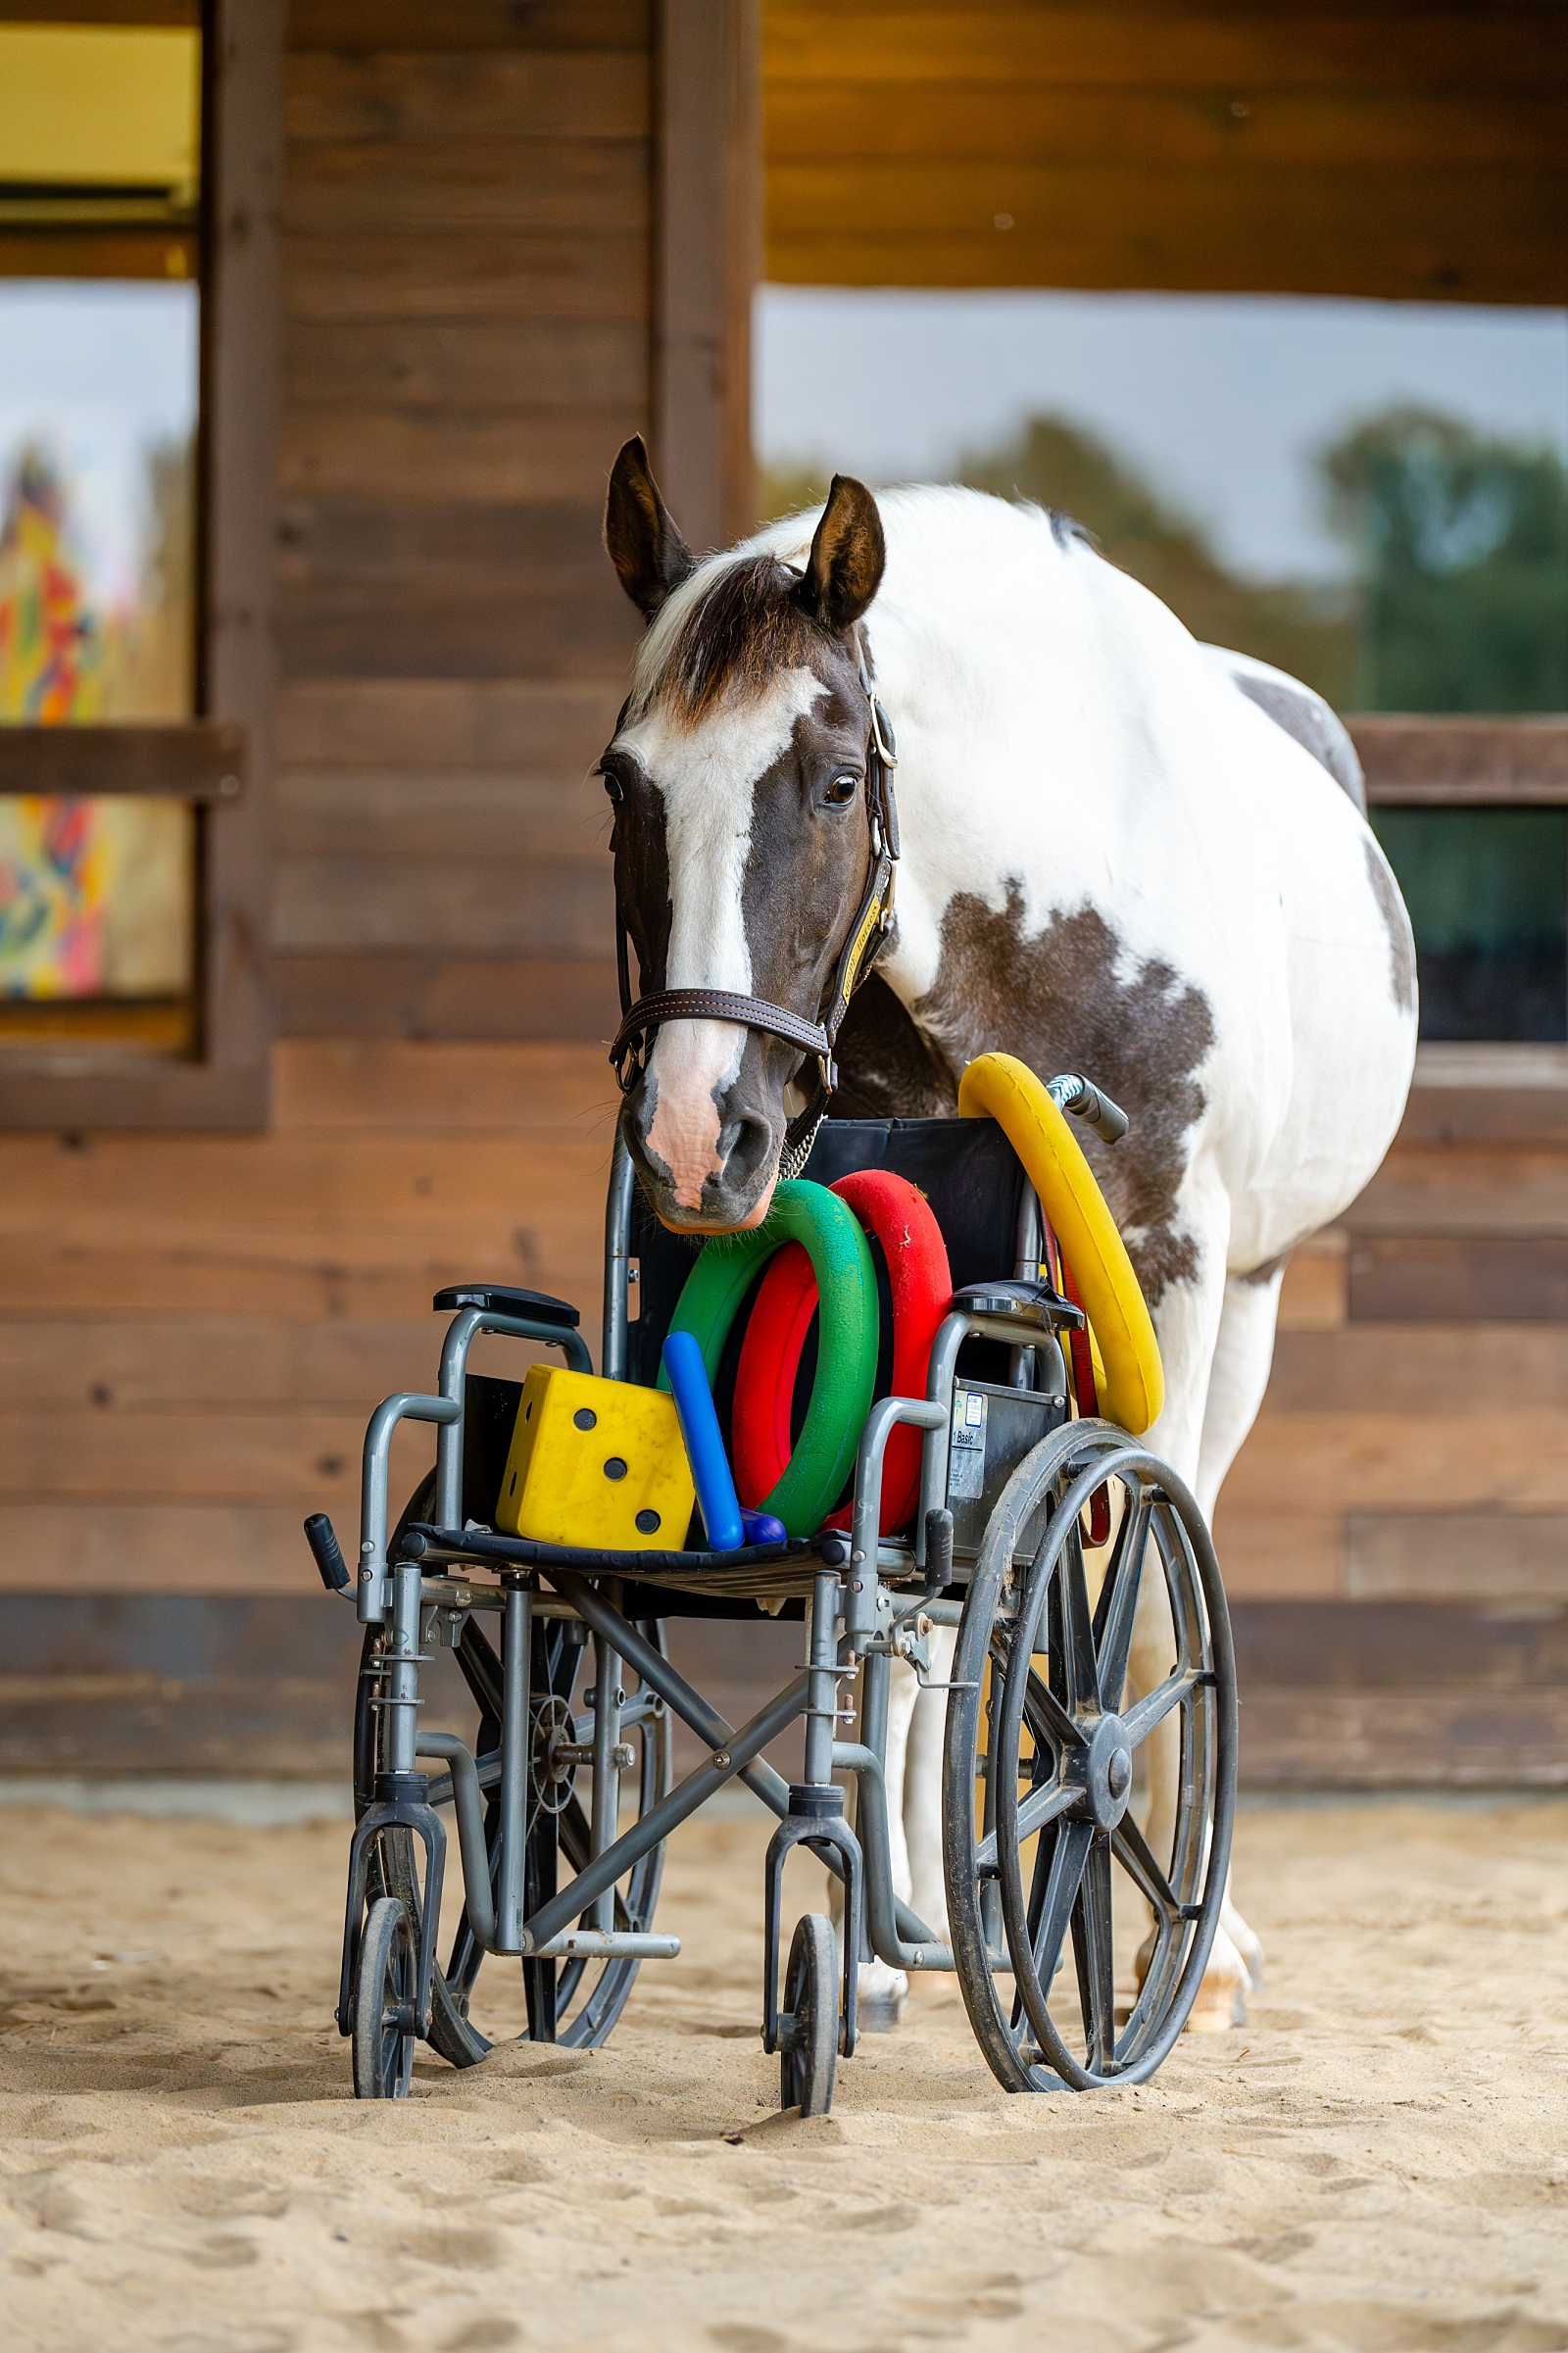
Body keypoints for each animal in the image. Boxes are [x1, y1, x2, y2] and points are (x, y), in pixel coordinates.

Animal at [598, 432, 1412, 2033]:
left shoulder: (1178, 1264)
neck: (1050, 908)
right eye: (622, 781)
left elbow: (1154, 1589)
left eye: (838, 780)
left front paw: (1172, 1954)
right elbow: (910, 1600)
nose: (693, 1134)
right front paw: (874, 1939)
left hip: (1251, 1302)